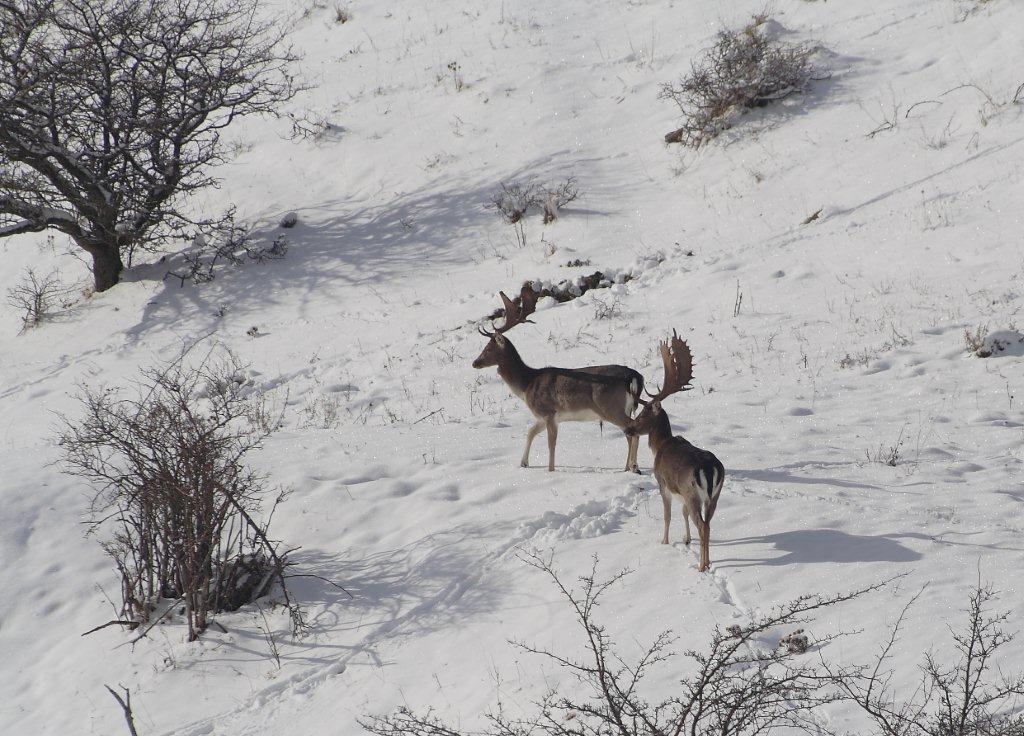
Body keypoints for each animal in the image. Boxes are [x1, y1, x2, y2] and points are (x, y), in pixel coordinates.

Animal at [468, 288, 643, 472]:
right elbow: (530, 432)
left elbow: (550, 443)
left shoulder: (548, 411)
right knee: (629, 433)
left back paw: (633, 466)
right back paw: (628, 467)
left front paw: (550, 470)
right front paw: (524, 463)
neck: (526, 384)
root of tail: (634, 376)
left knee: (633, 430)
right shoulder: (543, 417)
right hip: (625, 407)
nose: (475, 363)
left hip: (609, 406)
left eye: (488, 349)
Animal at [622, 331, 729, 573]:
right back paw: (707, 561)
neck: (660, 445)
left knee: (702, 525)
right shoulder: (681, 494)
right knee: (708, 523)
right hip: (715, 494)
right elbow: (683, 513)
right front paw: (686, 539)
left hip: (691, 491)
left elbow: (668, 515)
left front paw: (664, 541)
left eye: (643, 414)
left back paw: (701, 566)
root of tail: (709, 468)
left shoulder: (663, 484)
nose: (627, 429)